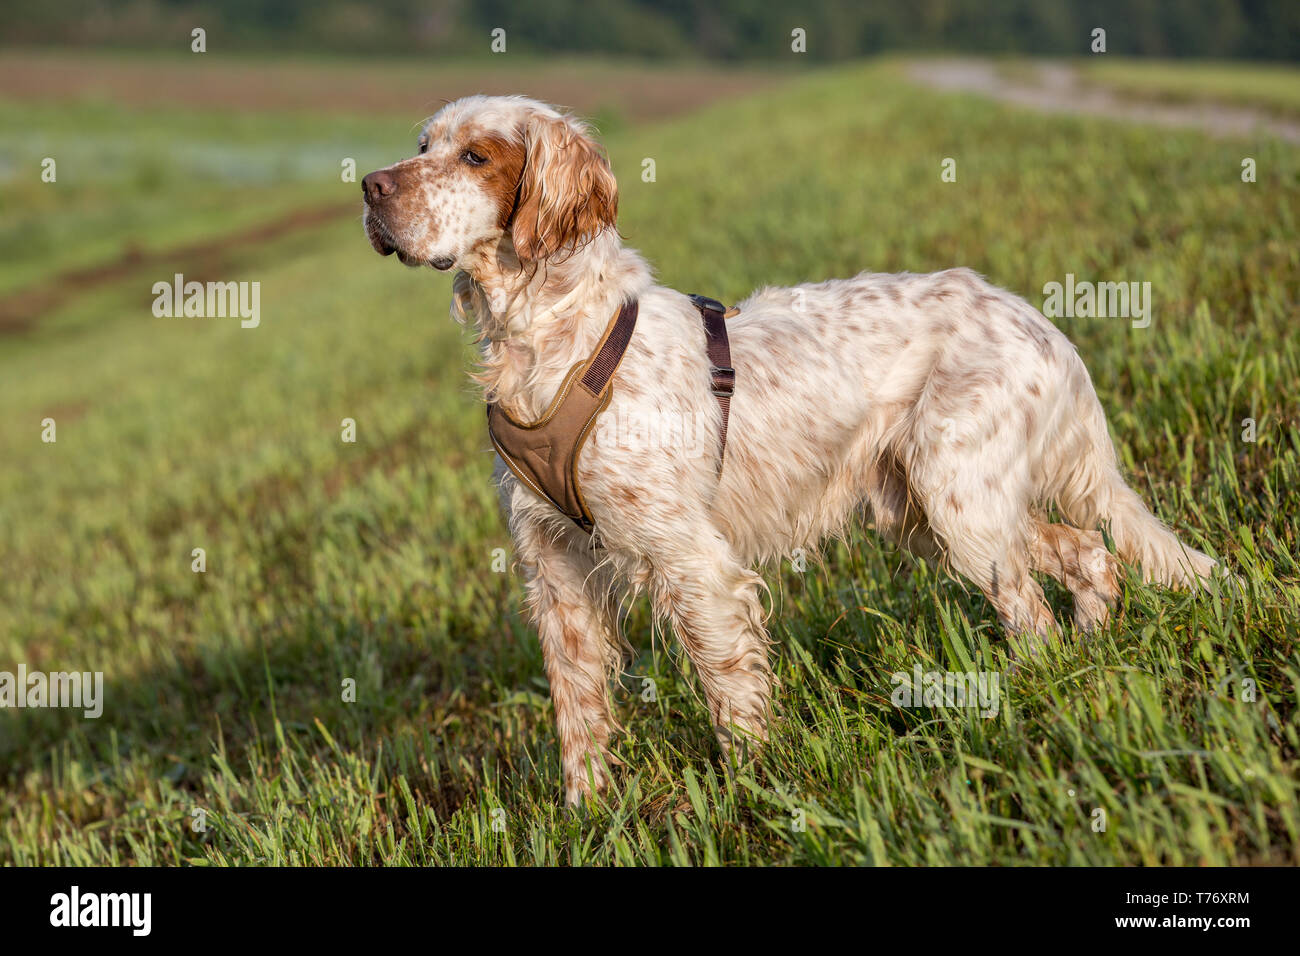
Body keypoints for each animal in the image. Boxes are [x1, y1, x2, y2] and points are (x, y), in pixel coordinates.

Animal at [358, 97, 1216, 806]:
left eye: (476, 156)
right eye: (423, 145)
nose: (368, 186)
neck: (551, 341)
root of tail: (1040, 322)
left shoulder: (689, 559)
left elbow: (729, 688)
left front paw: (751, 791)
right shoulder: (553, 566)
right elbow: (579, 709)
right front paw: (586, 812)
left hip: (960, 503)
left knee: (1034, 606)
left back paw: (1034, 686)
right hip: (929, 511)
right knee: (1087, 551)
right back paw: (1090, 649)